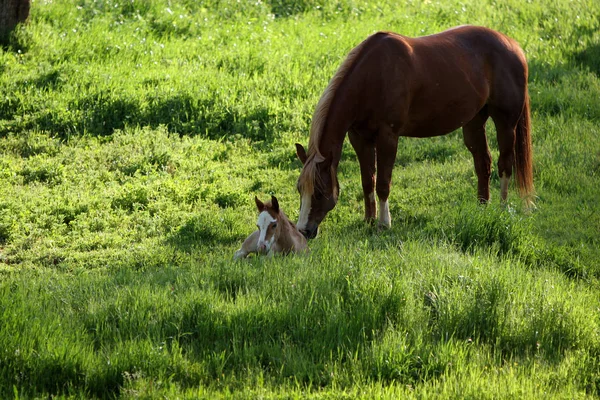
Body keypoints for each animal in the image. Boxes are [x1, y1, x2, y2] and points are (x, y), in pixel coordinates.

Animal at [296, 25, 536, 238]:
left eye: (319, 192)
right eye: (299, 189)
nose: (303, 231)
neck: (372, 77)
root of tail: (514, 46)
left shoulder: (388, 137)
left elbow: (383, 183)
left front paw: (384, 224)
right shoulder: (360, 138)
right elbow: (367, 181)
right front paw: (369, 220)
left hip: (506, 123)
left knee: (505, 164)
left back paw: (502, 208)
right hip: (474, 122)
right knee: (483, 162)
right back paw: (481, 208)